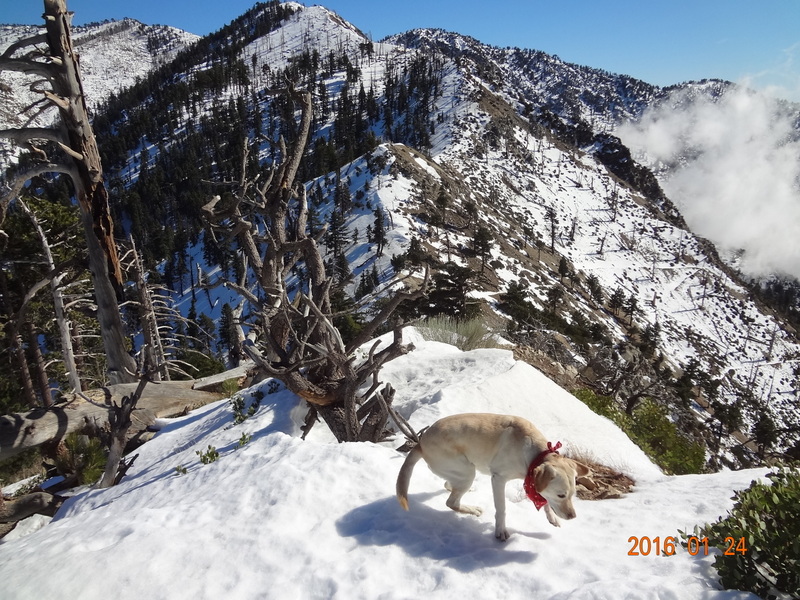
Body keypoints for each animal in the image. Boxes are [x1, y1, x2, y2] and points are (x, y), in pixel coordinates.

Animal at [396, 412, 592, 540]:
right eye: (561, 495)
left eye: (572, 495)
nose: (573, 516)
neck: (534, 454)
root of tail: (420, 443)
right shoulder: (498, 479)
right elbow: (502, 509)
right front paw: (500, 531)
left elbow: (544, 501)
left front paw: (551, 517)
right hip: (467, 471)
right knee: (451, 503)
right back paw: (472, 510)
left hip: (461, 472)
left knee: (448, 486)